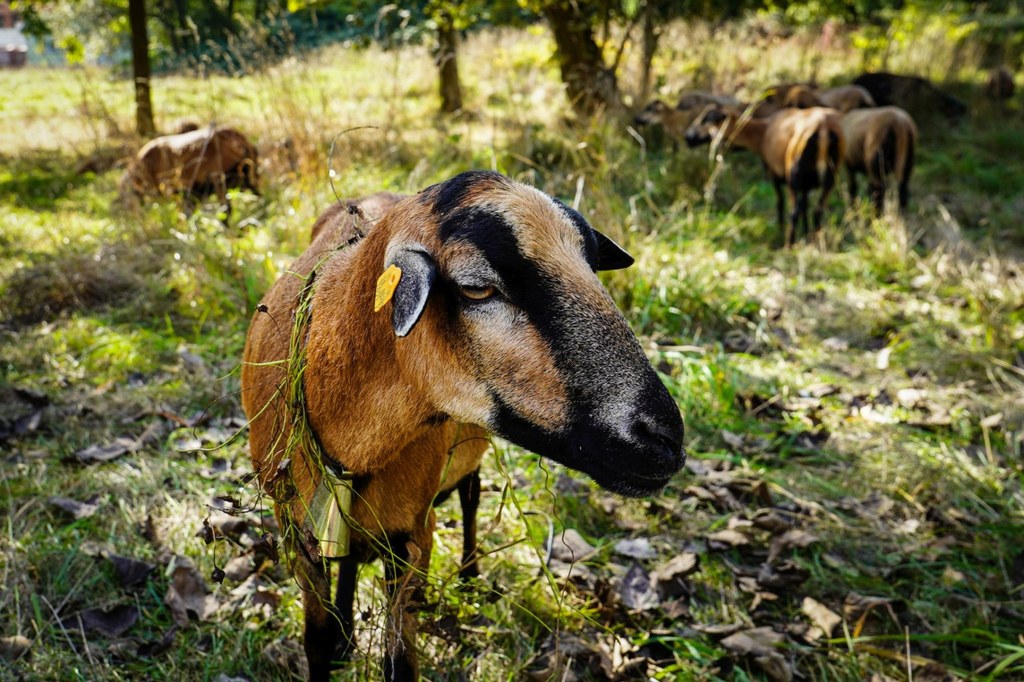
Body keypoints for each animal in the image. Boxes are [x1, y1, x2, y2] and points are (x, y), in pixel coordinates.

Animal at [241, 168, 688, 675]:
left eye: (592, 266)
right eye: (477, 288)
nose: (666, 439)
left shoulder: (415, 537)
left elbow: (400, 663)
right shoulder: (297, 533)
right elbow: (315, 641)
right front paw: (334, 642)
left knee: (471, 497)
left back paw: (471, 577)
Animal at [684, 104, 843, 246]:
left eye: (705, 119)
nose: (687, 137)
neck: (762, 132)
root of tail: (822, 125)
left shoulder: (775, 174)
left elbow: (780, 203)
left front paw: (780, 229)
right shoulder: (806, 184)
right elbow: (805, 207)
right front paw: (806, 235)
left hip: (795, 172)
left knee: (794, 211)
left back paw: (788, 244)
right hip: (831, 174)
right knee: (817, 210)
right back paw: (816, 241)